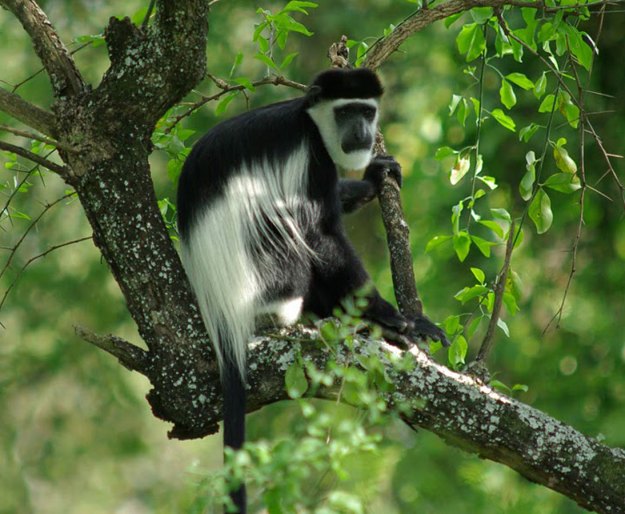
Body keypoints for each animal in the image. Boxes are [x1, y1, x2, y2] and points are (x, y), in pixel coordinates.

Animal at [178, 67, 446, 508]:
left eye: (366, 111)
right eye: (345, 112)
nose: (362, 133)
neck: (310, 122)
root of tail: (218, 309)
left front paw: (373, 179)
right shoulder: (310, 158)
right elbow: (321, 233)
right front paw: (396, 318)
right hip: (254, 274)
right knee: (283, 223)